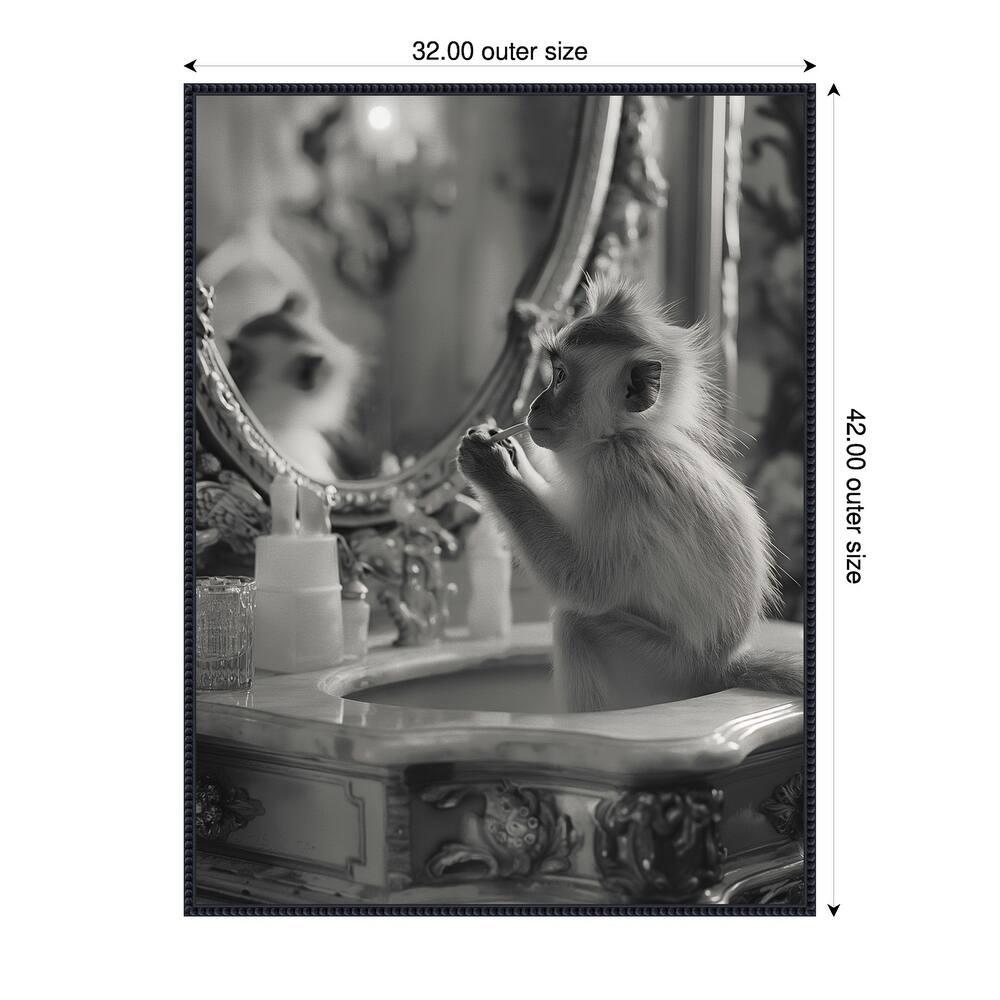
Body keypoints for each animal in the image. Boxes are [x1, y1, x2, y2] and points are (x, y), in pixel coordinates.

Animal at [457, 275, 802, 712]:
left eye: (559, 376)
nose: (533, 405)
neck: (621, 435)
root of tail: (723, 667)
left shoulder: (619, 476)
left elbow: (586, 585)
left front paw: (491, 467)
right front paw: (505, 447)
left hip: (664, 669)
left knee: (576, 622)